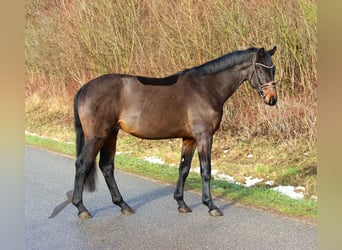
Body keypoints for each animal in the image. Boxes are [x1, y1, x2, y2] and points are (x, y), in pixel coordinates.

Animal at [73, 46, 278, 218]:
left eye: (273, 69)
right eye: (260, 70)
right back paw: (81, 208)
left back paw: (123, 205)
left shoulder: (189, 139)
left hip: (111, 135)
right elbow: (206, 170)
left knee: (107, 167)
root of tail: (85, 88)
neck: (206, 88)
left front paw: (181, 203)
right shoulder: (204, 137)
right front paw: (211, 205)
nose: (272, 99)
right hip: (96, 137)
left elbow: (184, 168)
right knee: (83, 165)